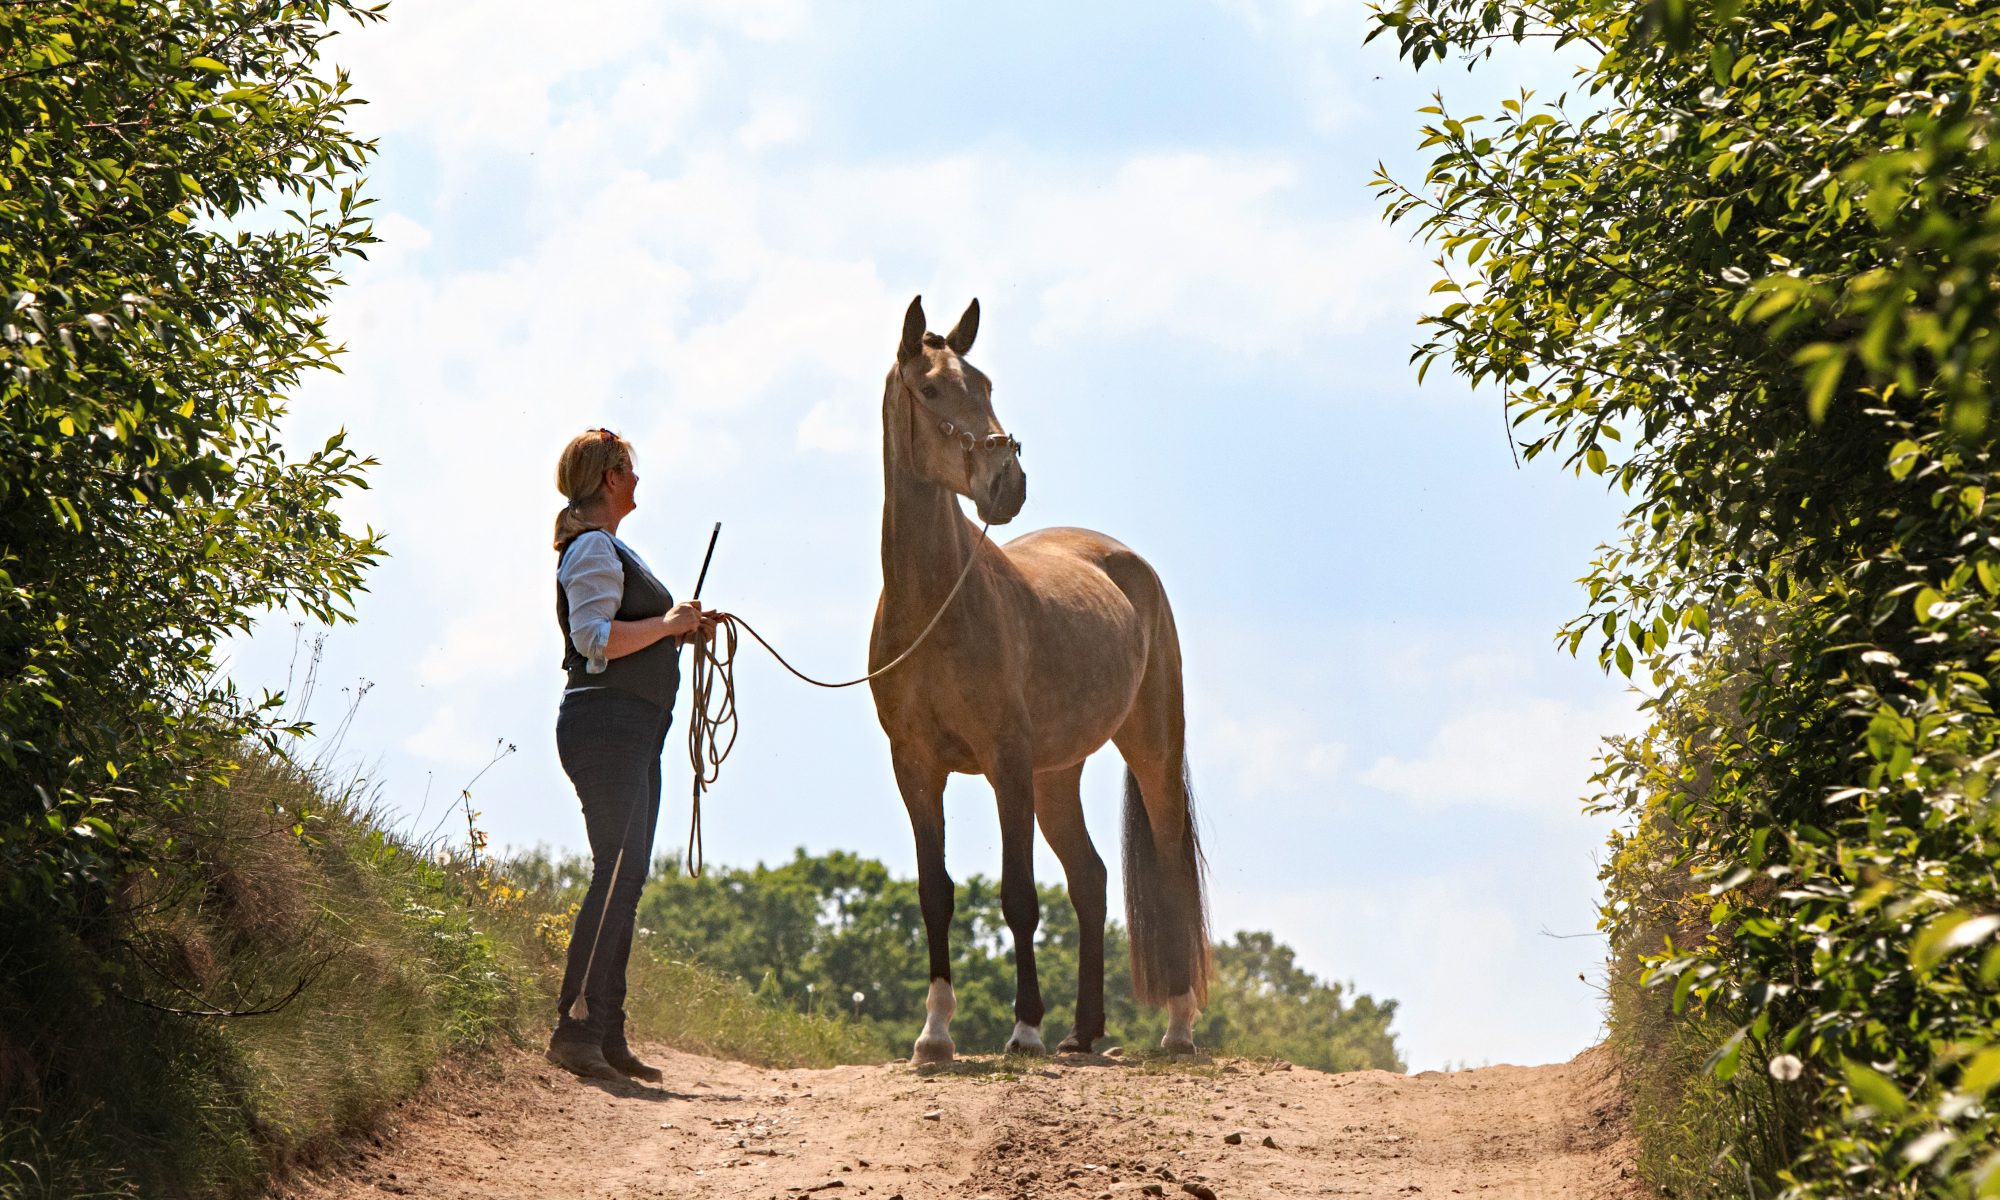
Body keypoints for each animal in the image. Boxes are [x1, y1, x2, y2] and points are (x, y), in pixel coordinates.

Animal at [868, 298, 1208, 1056]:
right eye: (930, 389)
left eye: (985, 383)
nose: (1008, 483)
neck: (935, 604)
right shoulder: (915, 766)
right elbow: (935, 892)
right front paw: (935, 1034)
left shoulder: (1006, 761)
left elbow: (1017, 895)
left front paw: (1023, 1028)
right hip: (1058, 775)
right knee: (1090, 878)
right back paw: (1084, 1034)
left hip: (1150, 748)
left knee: (1170, 869)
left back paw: (1175, 1027)